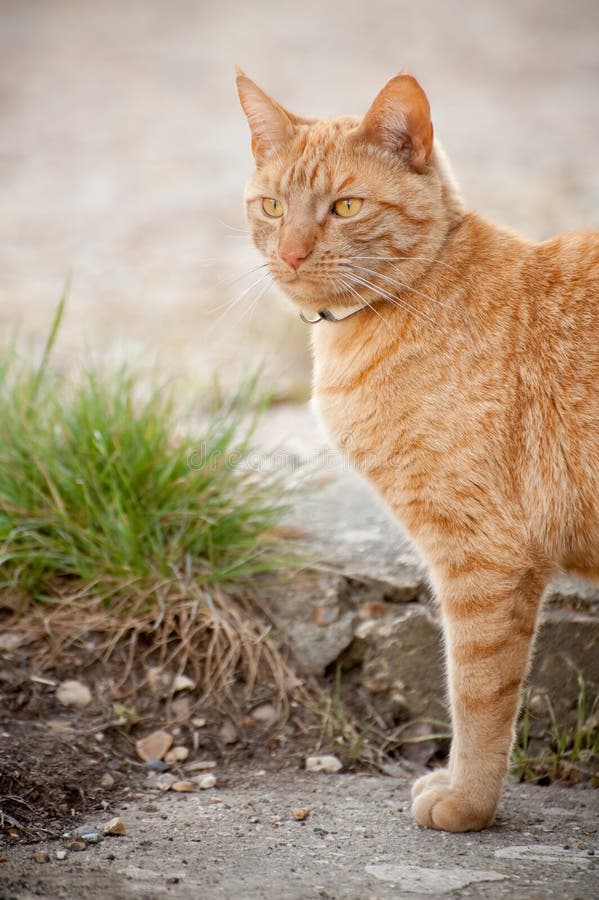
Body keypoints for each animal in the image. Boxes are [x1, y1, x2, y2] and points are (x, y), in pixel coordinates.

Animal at [237, 68, 596, 828]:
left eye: (345, 206)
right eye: (273, 206)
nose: (291, 254)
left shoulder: (483, 555)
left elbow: (474, 691)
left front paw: (467, 802)